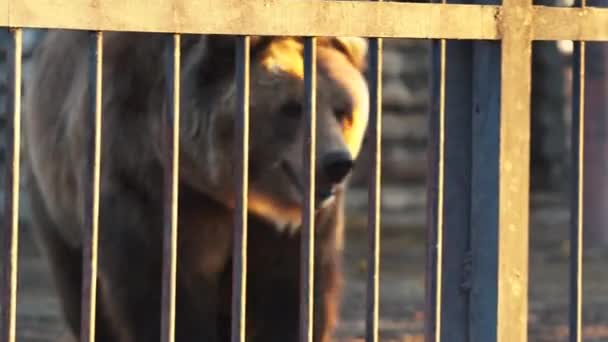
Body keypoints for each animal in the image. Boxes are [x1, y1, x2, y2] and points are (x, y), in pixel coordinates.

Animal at [21, 30, 368, 342]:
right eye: (292, 107)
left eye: (342, 110)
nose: (336, 163)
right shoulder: (147, 183)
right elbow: (163, 288)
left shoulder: (293, 229)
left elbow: (291, 290)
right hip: (55, 202)